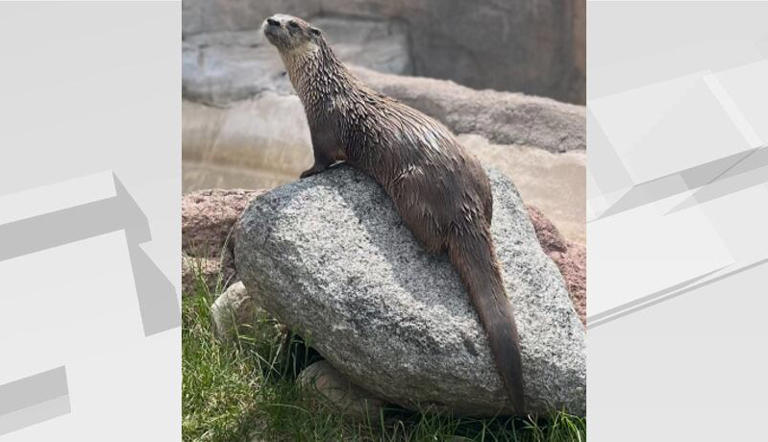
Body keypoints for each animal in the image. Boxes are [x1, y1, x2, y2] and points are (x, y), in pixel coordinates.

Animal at [266, 13, 528, 414]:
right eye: (277, 17)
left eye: (292, 24)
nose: (271, 21)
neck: (322, 90)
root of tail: (464, 203)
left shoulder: (322, 128)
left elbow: (324, 160)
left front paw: (306, 173)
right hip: (479, 177)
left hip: (410, 187)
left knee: (434, 241)